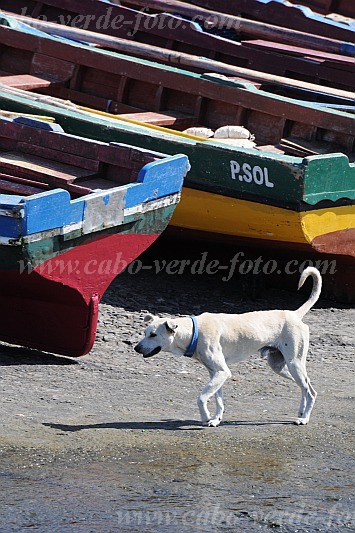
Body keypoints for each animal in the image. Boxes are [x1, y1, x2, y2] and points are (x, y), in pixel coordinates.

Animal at [134, 268, 322, 426]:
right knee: (305, 387)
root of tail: (294, 314)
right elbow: (219, 400)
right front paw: (216, 419)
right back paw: (301, 412)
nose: (136, 348)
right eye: (145, 332)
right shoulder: (216, 374)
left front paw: (205, 417)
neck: (194, 331)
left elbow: (201, 398)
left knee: (310, 391)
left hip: (294, 364)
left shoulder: (222, 372)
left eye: (153, 335)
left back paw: (304, 418)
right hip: (280, 366)